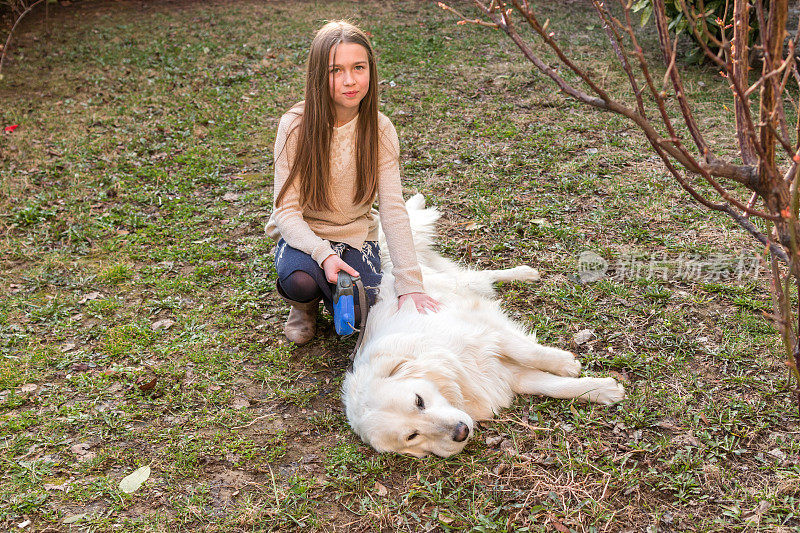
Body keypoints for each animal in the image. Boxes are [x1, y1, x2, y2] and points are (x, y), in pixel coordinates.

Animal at [342, 196, 624, 458]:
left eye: (418, 401)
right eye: (412, 435)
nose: (461, 432)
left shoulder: (483, 332)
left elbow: (530, 352)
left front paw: (568, 364)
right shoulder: (501, 374)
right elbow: (552, 386)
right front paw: (603, 390)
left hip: (459, 286)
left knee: (484, 276)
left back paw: (525, 273)